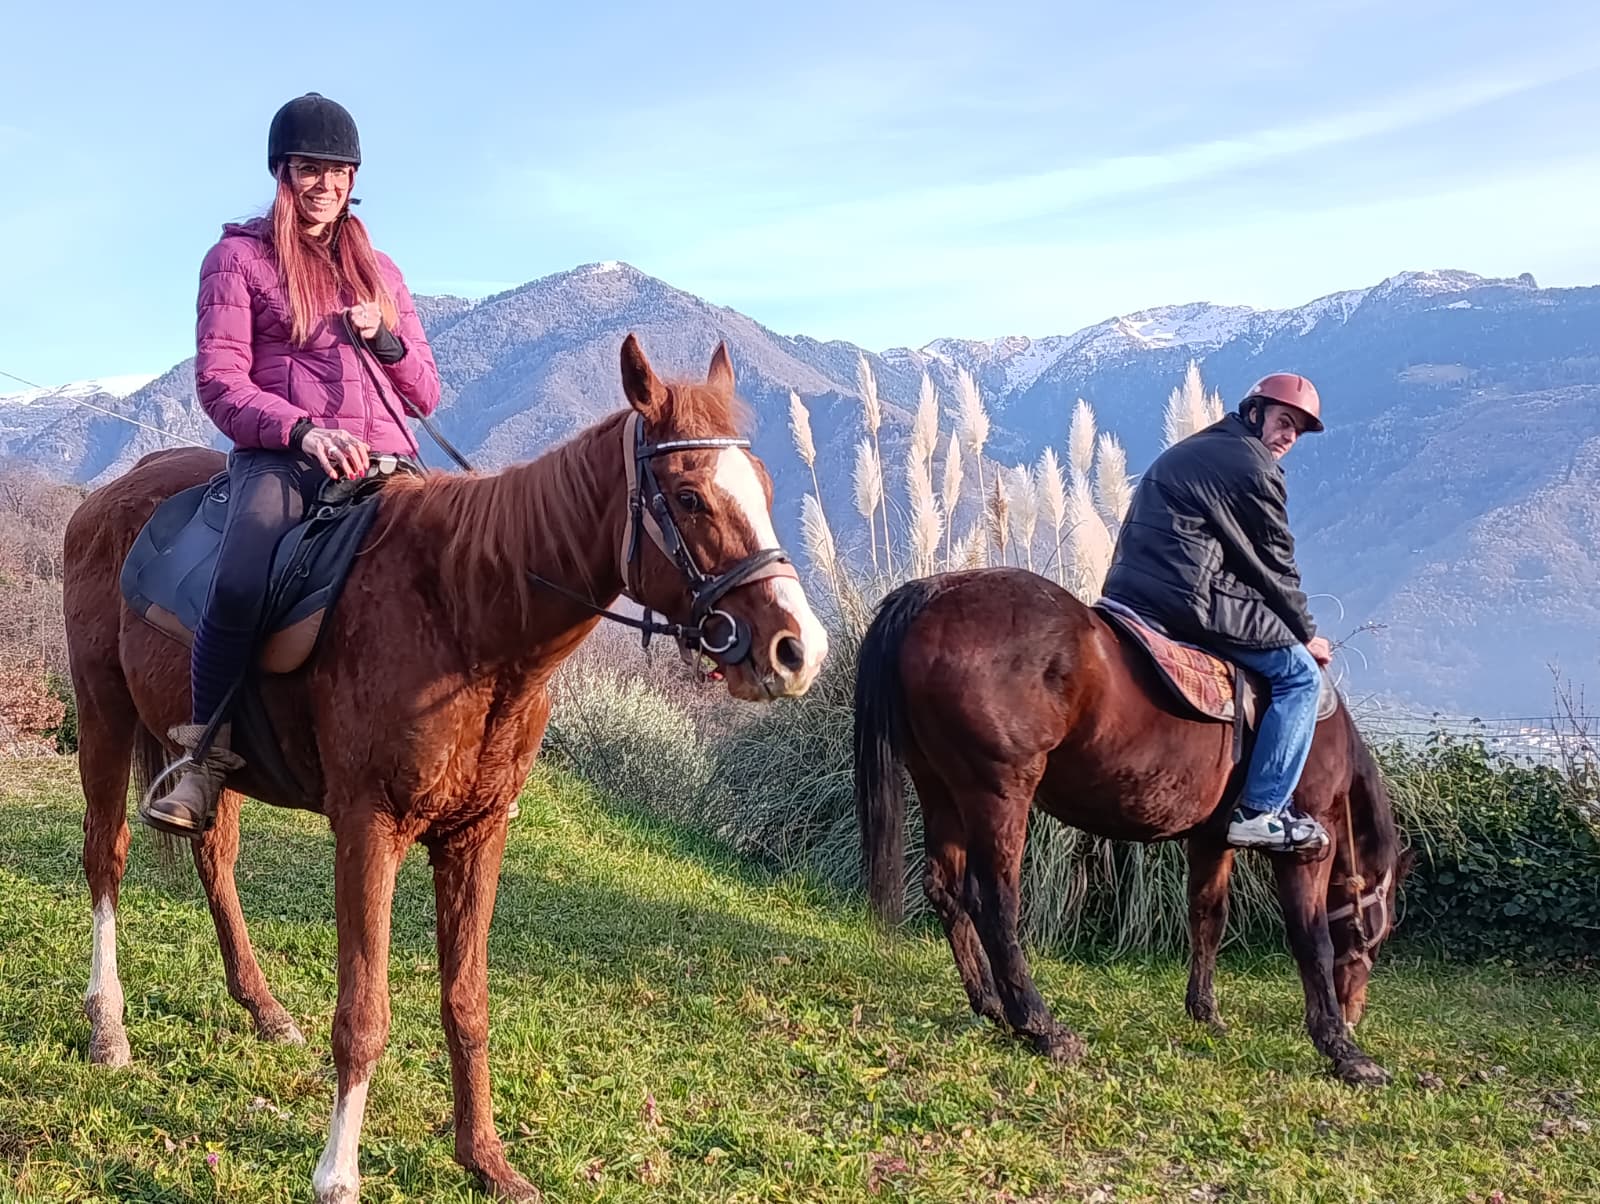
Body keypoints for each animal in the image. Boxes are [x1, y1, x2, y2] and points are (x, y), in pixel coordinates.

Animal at [61, 334, 828, 1203]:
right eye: (691, 497)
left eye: (766, 488)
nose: (796, 650)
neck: (466, 615)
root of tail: (106, 498)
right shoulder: (370, 828)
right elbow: (363, 1014)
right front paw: (337, 1174)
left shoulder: (477, 834)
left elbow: (466, 1002)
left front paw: (484, 1158)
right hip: (102, 710)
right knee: (106, 856)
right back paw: (108, 1026)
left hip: (214, 763)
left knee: (213, 858)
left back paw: (263, 1009)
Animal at [852, 568, 1408, 1086]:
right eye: (1379, 934)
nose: (1354, 1013)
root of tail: (937, 591)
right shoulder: (1307, 850)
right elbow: (1312, 939)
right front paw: (1342, 1049)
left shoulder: (1212, 839)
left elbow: (1208, 917)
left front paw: (1206, 1012)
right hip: (997, 792)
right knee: (994, 902)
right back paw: (1041, 1026)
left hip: (939, 786)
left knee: (946, 890)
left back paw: (991, 1004)